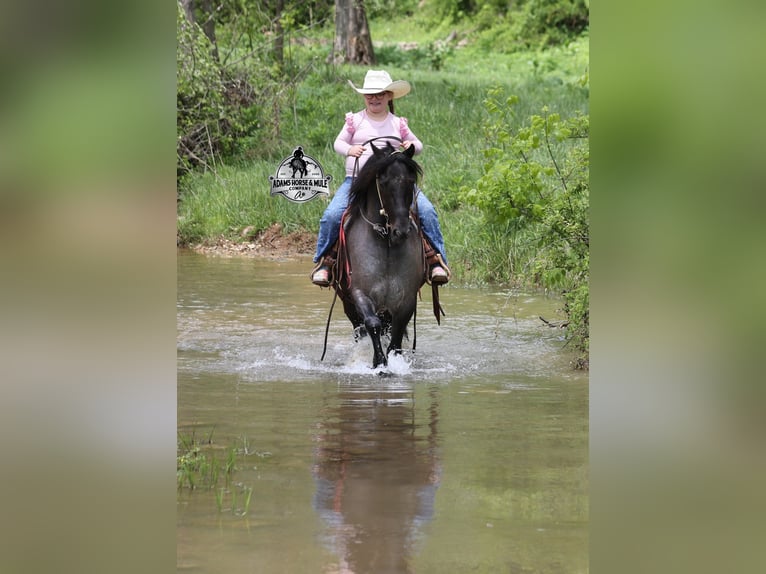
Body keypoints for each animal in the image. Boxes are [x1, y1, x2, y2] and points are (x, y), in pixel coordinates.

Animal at [334, 139, 427, 368]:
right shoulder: (359, 293)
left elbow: (396, 335)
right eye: (383, 182)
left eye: (410, 180)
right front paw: (379, 363)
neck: (385, 245)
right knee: (361, 330)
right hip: (348, 305)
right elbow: (372, 323)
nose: (400, 231)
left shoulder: (407, 299)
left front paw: (393, 362)